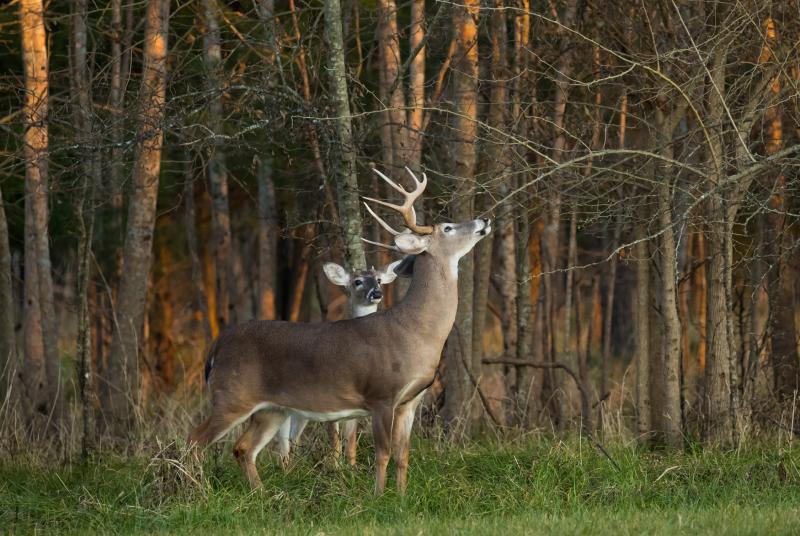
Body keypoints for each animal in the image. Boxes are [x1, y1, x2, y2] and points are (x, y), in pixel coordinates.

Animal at [275, 259, 403, 465]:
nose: (376, 293)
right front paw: (335, 466)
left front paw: (351, 465)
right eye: (357, 281)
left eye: (379, 280)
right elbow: (333, 435)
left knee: (293, 434)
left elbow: (351, 435)